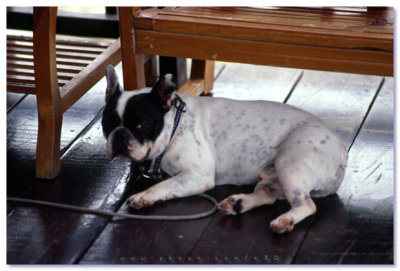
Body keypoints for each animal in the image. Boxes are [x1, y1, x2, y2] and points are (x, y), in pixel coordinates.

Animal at [102, 66, 346, 234]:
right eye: (108, 123)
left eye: (140, 125)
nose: (120, 134)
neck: (174, 126)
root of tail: (342, 149)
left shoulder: (198, 175)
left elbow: (166, 184)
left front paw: (145, 195)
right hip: (273, 176)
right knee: (267, 195)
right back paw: (238, 204)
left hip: (290, 164)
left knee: (306, 204)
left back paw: (285, 220)